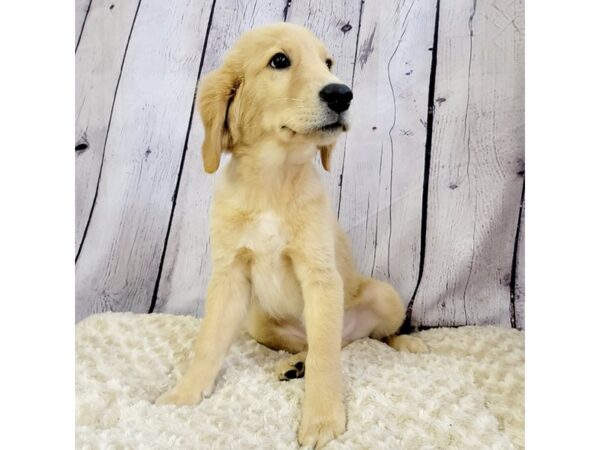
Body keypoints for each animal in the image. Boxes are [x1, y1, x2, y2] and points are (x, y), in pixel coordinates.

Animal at [155, 22, 426, 448]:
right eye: (280, 60)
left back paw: (407, 342)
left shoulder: (320, 276)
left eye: (328, 63)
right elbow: (208, 342)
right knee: (316, 344)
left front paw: (322, 419)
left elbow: (326, 360)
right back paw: (294, 364)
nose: (342, 93)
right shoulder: (230, 276)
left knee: (355, 341)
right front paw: (185, 393)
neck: (273, 180)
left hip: (385, 297)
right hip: (258, 319)